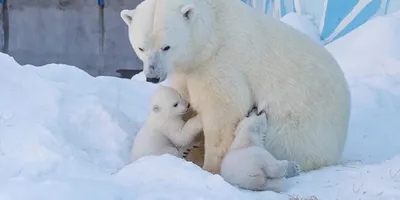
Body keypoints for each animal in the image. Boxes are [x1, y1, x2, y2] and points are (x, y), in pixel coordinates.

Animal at [119, 0, 350, 173]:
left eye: (166, 46)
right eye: (141, 47)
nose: (152, 76)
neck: (212, 34)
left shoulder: (221, 63)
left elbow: (223, 111)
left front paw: (209, 166)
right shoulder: (187, 70)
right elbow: (184, 98)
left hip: (299, 129)